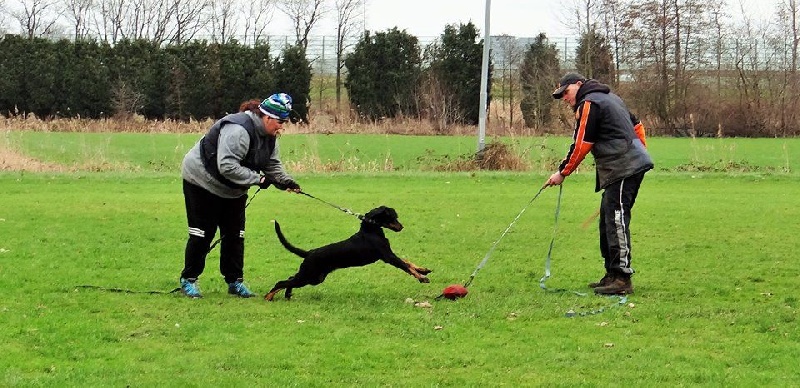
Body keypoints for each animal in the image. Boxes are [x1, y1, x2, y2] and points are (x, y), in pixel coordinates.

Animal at [266, 206, 432, 300]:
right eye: (393, 216)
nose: (401, 227)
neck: (371, 229)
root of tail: (309, 252)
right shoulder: (388, 257)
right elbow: (406, 266)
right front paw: (422, 278)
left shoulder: (389, 255)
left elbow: (408, 262)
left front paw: (423, 270)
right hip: (309, 276)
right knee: (281, 282)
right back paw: (268, 297)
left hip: (313, 278)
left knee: (289, 279)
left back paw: (287, 295)